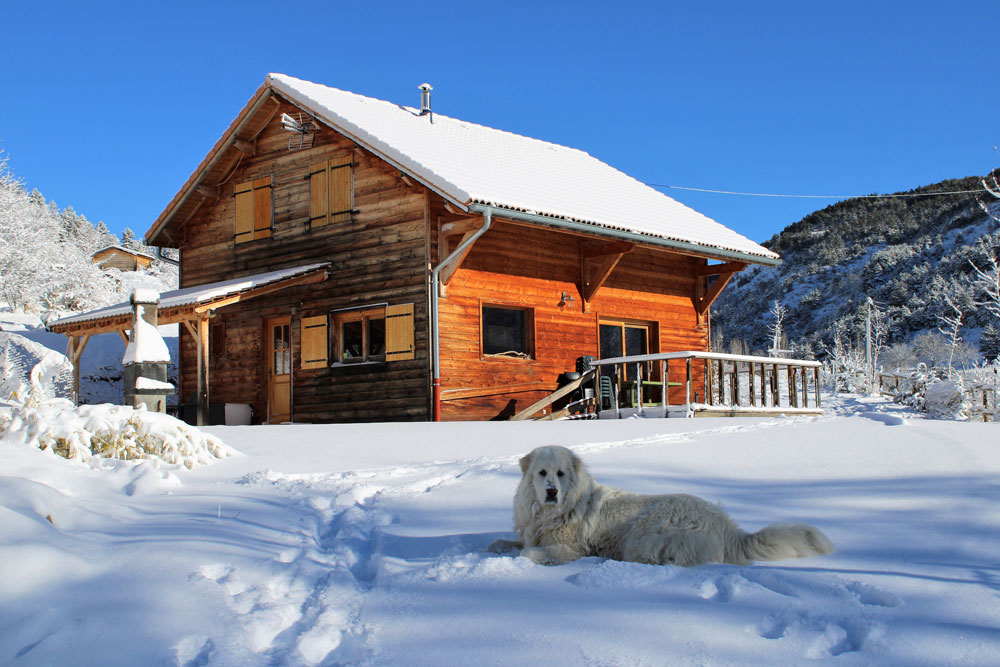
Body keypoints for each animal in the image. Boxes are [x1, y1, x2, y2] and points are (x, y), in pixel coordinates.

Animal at [488, 446, 832, 568]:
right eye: (542, 473)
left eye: (560, 474)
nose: (551, 491)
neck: (550, 512)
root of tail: (725, 526)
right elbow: (508, 543)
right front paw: (496, 546)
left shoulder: (568, 549)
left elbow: (528, 553)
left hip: (643, 536)